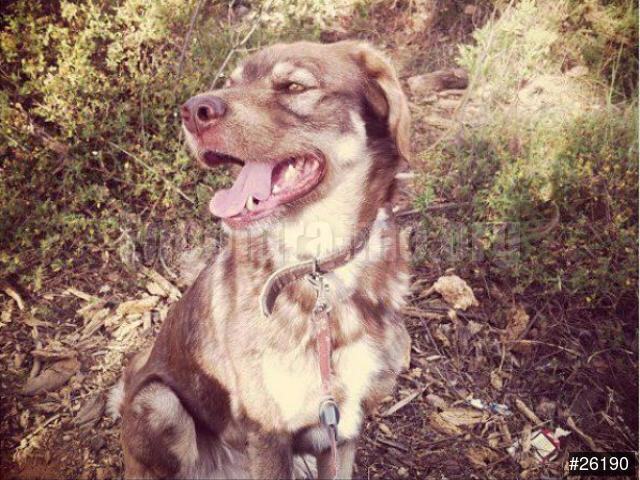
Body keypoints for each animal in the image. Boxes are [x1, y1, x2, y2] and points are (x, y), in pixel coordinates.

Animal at [109, 40, 412, 479]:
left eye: (293, 86)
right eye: (232, 82)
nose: (192, 111)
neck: (318, 266)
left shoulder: (344, 427)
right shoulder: (269, 430)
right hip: (159, 402)